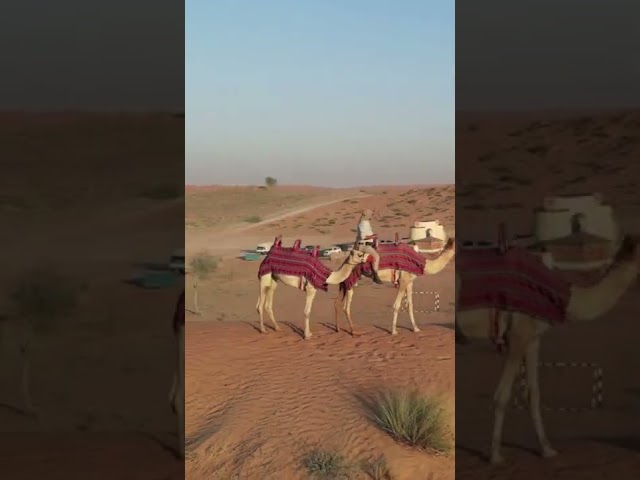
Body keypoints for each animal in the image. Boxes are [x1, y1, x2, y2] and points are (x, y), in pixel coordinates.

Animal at [458, 236, 636, 464]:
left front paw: (547, 449)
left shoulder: (533, 338)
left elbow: (533, 394)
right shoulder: (518, 334)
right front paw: (496, 455)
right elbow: (502, 396)